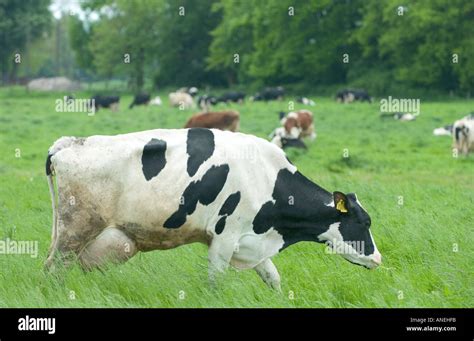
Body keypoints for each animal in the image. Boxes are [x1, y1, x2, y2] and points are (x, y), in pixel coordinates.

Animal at [45, 129, 382, 288]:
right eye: (364, 222)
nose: (378, 258)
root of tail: (71, 142)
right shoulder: (224, 237)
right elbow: (215, 283)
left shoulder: (252, 242)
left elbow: (273, 279)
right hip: (74, 230)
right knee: (53, 270)